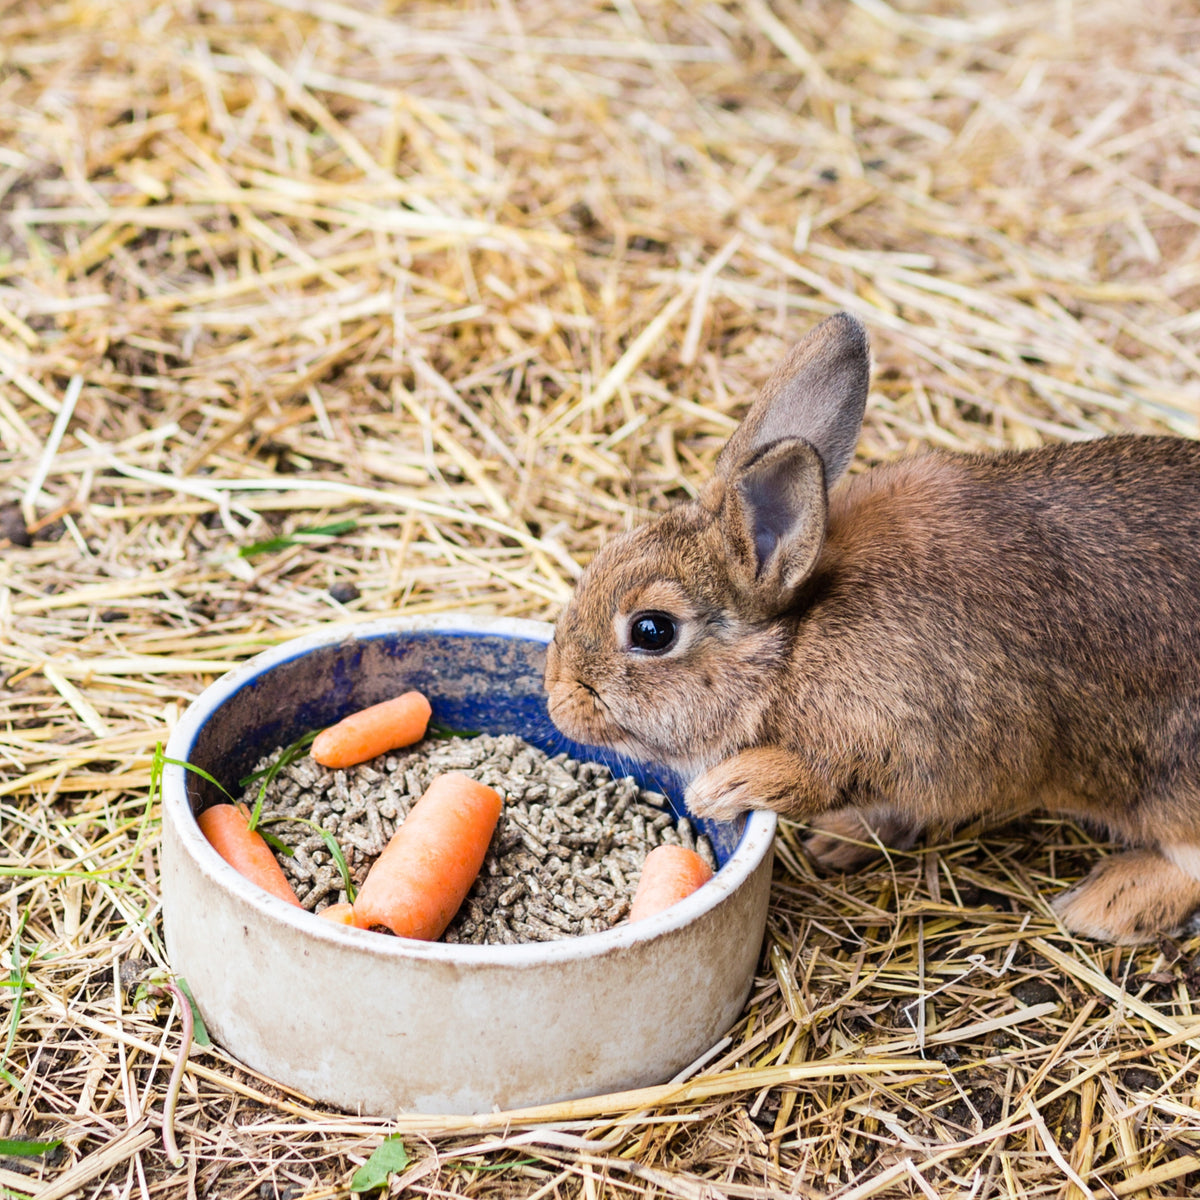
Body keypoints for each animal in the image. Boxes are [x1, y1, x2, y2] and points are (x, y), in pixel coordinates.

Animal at [544, 311, 1200, 945]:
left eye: (652, 631)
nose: (556, 699)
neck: (795, 644)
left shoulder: (926, 737)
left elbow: (825, 775)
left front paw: (729, 786)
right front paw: (837, 839)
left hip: (1170, 783)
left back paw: (1105, 906)